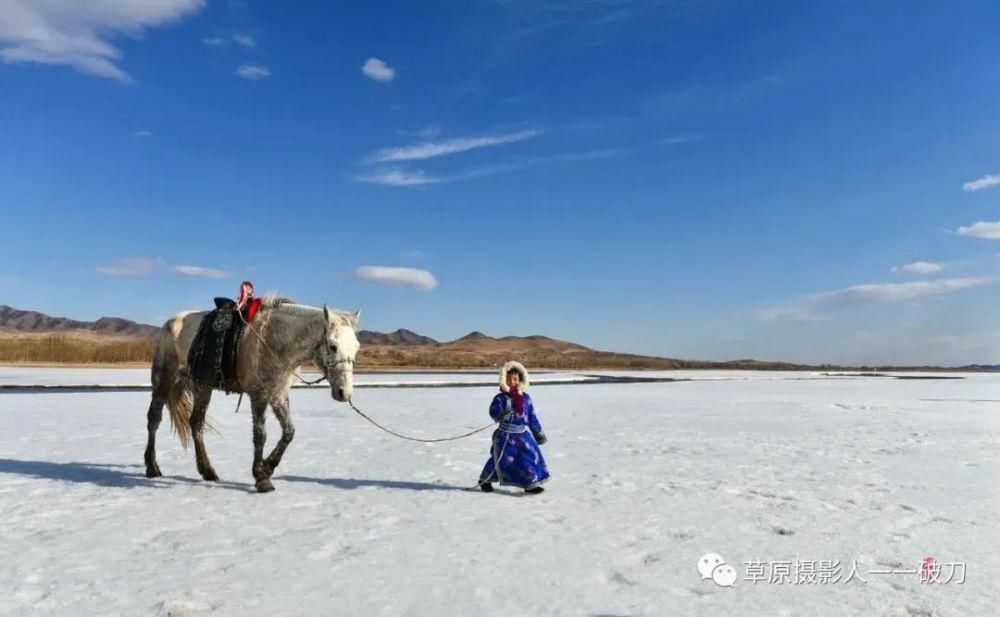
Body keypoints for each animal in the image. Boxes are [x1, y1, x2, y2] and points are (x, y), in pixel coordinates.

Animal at [141, 296, 360, 494]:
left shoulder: (278, 394)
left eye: (356, 347)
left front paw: (268, 467)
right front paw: (261, 478)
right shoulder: (259, 395)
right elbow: (260, 435)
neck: (275, 339)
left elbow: (289, 432)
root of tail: (170, 323)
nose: (344, 392)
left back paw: (207, 470)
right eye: (332, 345)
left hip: (202, 387)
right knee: (154, 419)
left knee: (196, 423)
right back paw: (152, 467)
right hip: (164, 381)